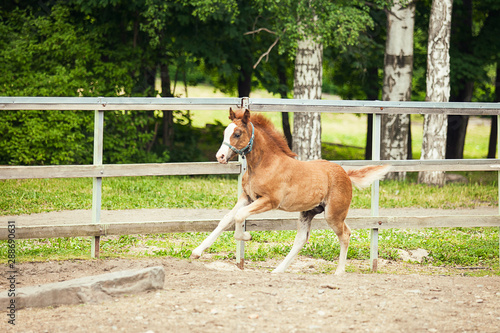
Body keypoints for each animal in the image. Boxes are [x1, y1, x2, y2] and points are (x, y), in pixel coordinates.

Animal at [191, 107, 390, 274]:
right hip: (308, 212)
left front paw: (246, 236)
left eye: (237, 133)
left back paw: (339, 272)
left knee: (345, 234)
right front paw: (196, 252)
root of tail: (346, 173)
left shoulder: (269, 201)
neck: (265, 164)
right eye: (225, 131)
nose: (220, 156)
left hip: (333, 214)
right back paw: (278, 270)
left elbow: (240, 216)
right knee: (301, 239)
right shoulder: (247, 197)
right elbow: (226, 219)